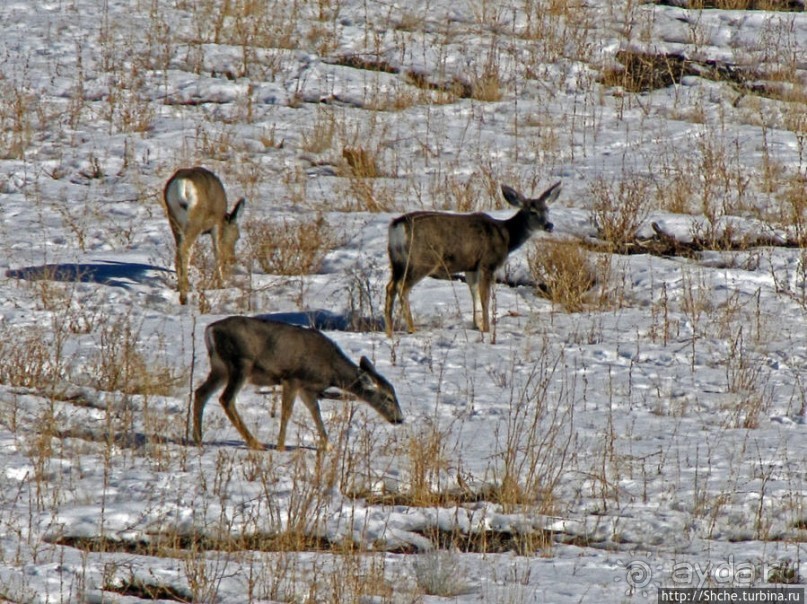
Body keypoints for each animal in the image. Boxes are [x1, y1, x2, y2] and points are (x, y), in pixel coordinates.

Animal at [161, 165, 243, 304]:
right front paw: (221, 284)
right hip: (195, 222)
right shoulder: (216, 225)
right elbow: (217, 253)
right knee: (184, 250)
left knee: (179, 252)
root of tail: (182, 183)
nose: (232, 259)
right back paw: (184, 296)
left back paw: (180, 288)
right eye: (237, 236)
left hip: (174, 221)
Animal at [193, 316, 408, 448]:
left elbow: (316, 413)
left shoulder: (307, 388)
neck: (331, 369)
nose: (400, 419)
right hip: (240, 363)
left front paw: (329, 447)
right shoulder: (292, 378)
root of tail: (210, 330)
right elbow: (286, 413)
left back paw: (198, 439)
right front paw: (280, 447)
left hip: (220, 368)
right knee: (226, 399)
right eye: (388, 398)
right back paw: (256, 444)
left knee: (200, 392)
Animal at [386, 182, 560, 338]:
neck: (507, 237)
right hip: (423, 259)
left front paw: (478, 326)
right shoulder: (487, 263)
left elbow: (474, 292)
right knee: (402, 287)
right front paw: (487, 329)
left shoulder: (471, 266)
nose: (549, 225)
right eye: (532, 211)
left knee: (390, 287)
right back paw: (411, 329)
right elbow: (485, 298)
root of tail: (397, 226)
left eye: (547, 209)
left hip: (397, 261)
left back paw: (389, 331)